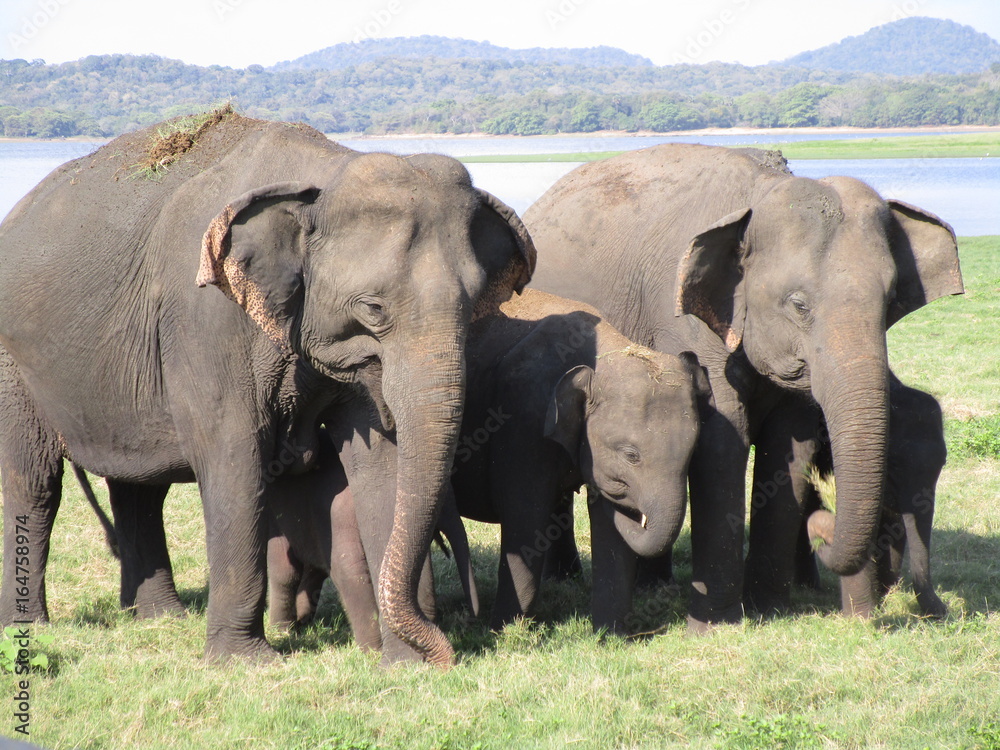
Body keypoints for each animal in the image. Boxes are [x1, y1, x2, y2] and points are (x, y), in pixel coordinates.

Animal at [0, 108, 536, 668]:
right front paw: (245, 662)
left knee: (139, 489)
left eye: (475, 303)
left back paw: (161, 618)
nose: (450, 650)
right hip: (15, 363)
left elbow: (381, 465)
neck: (325, 174)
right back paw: (30, 626)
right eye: (373, 308)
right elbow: (235, 457)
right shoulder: (206, 322)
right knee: (35, 483)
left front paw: (406, 665)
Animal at [454, 290, 712, 636]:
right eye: (631, 455)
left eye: (692, 451)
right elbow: (526, 520)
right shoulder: (521, 420)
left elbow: (609, 529)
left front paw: (611, 636)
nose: (636, 512)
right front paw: (505, 633)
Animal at [528, 142, 964, 636]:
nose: (823, 523)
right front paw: (716, 626)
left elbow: (792, 443)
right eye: (799, 304)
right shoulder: (685, 324)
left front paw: (769, 610)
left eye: (890, 301)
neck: (762, 191)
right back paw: (570, 578)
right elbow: (722, 440)